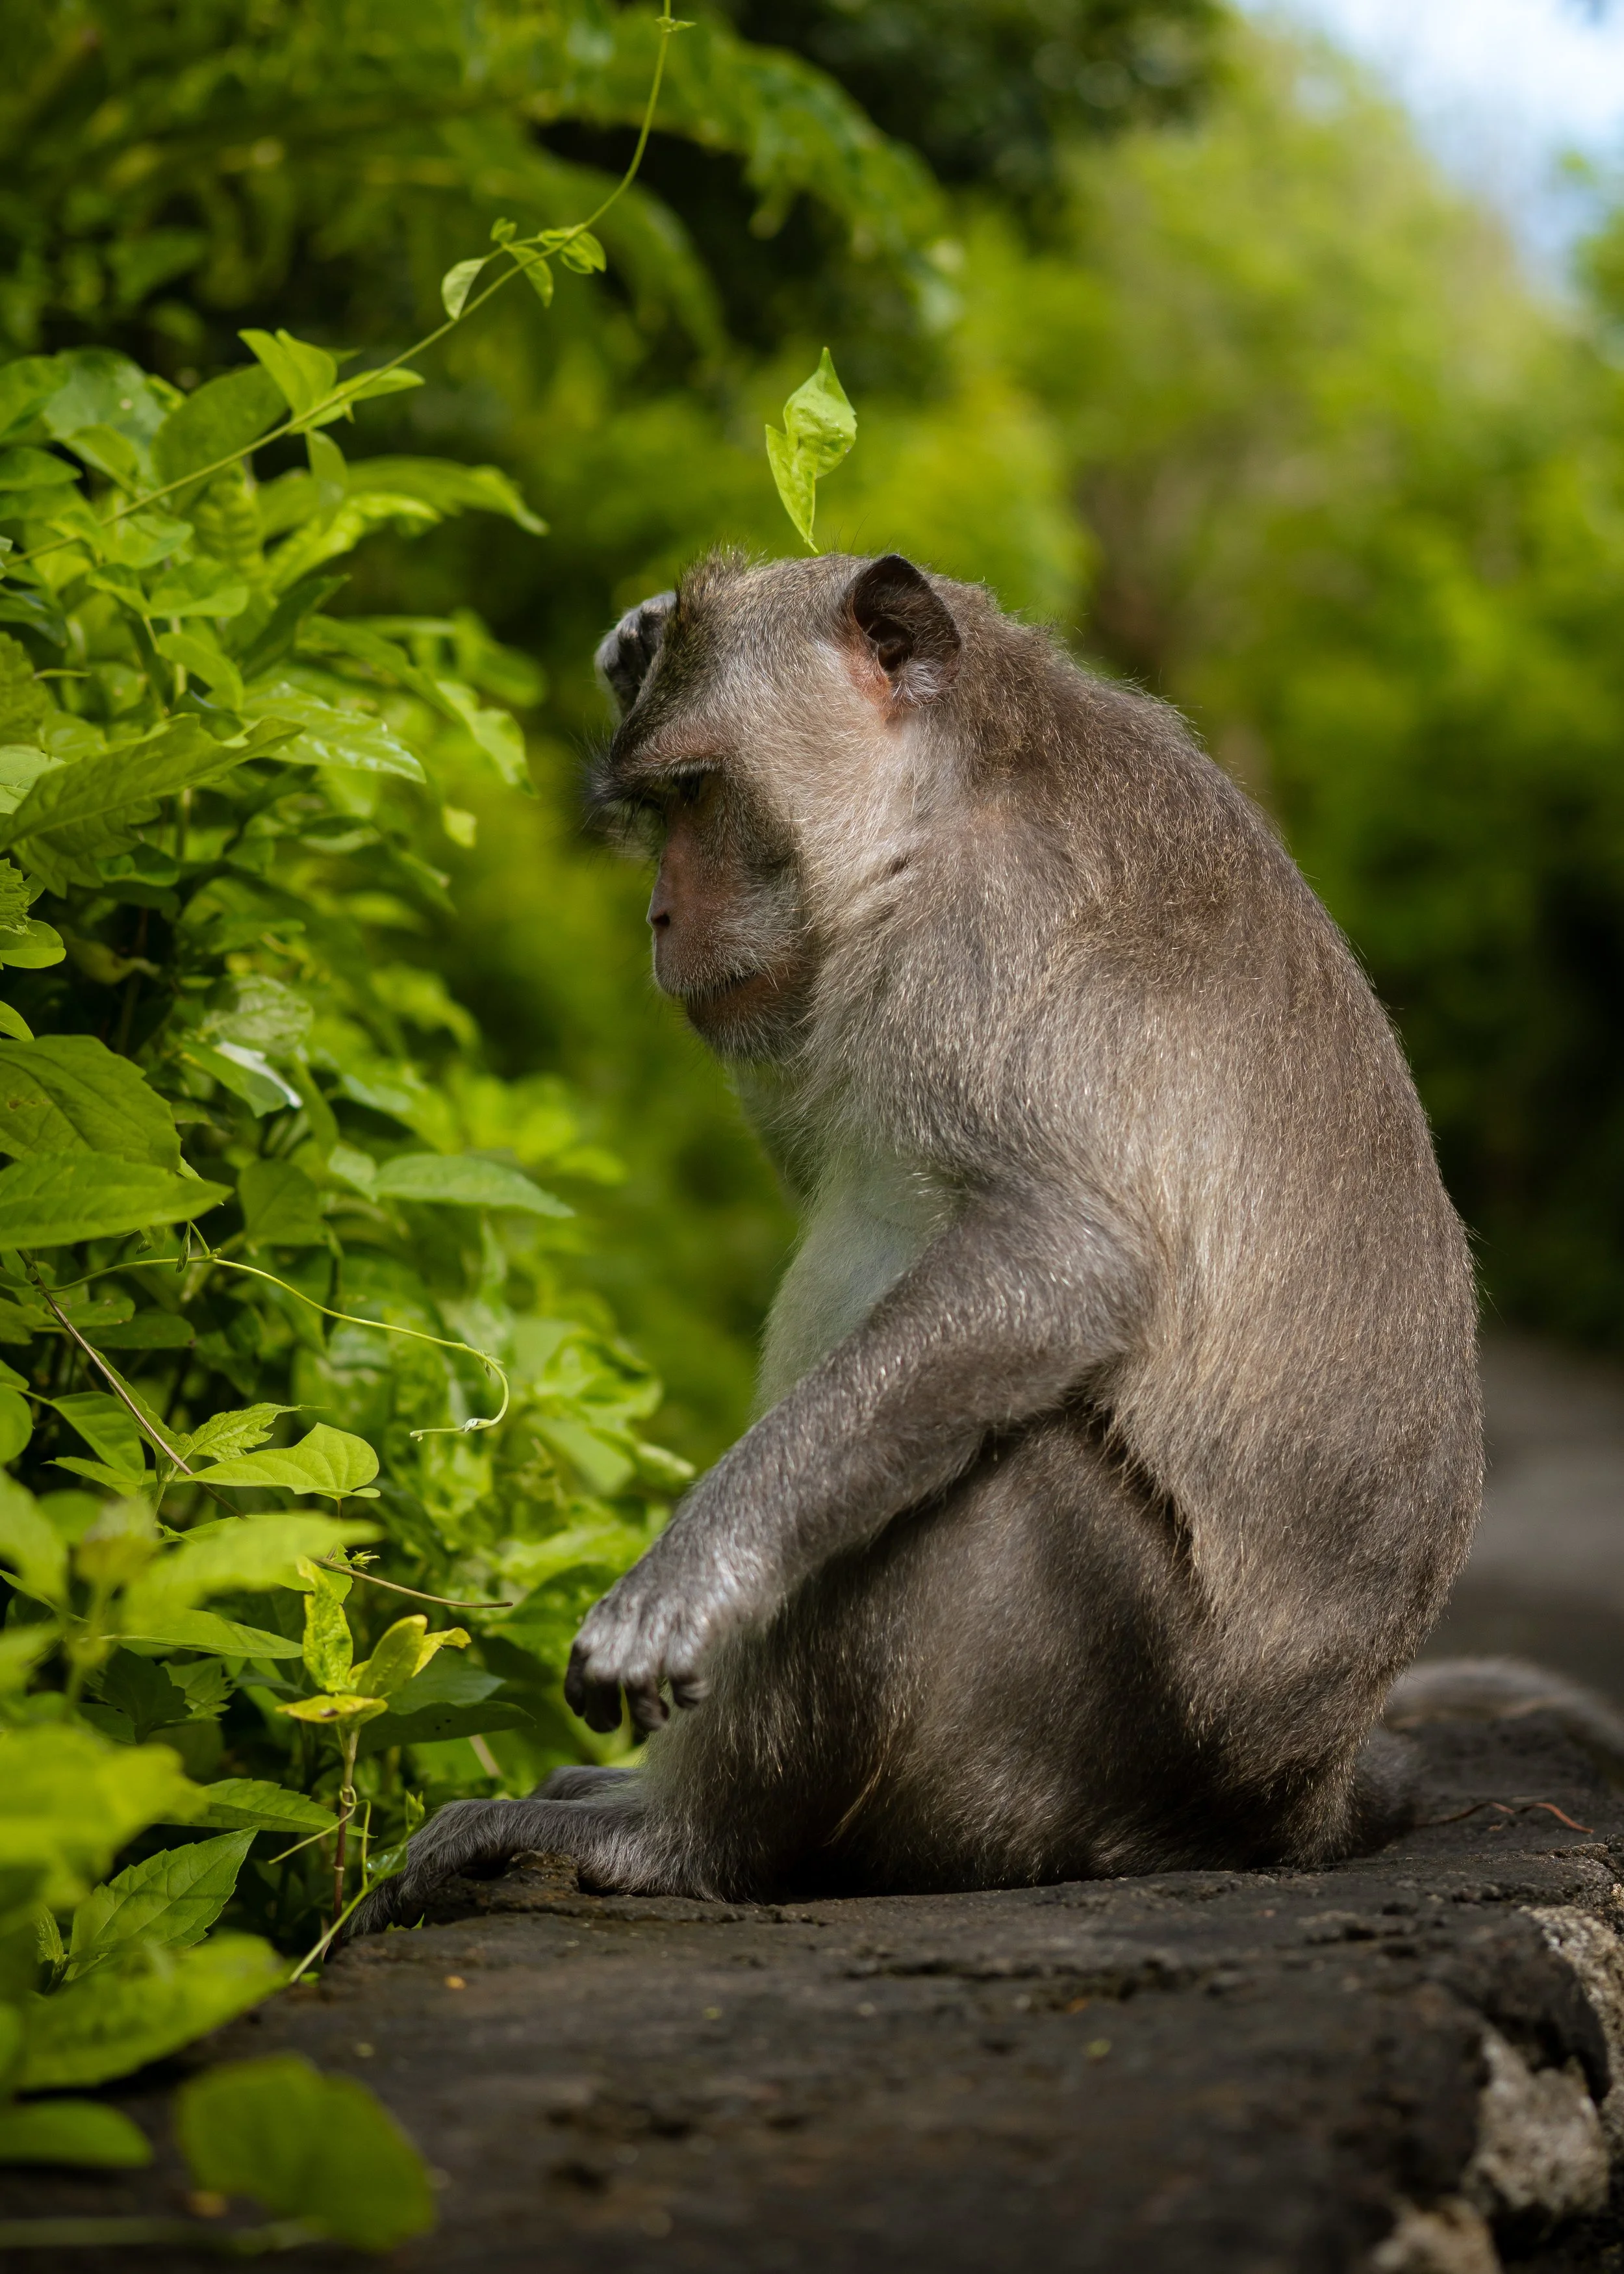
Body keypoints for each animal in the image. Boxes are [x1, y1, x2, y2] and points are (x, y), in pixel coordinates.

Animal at [352, 547, 1491, 1935]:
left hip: (1089, 1755)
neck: (943, 806)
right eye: (658, 813)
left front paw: (695, 1567)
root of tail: (1295, 1805)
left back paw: (679, 1839)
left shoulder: (991, 937)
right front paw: (638, 636)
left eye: (699, 795)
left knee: (1000, 1470)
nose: (663, 919)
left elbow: (1063, 1264)